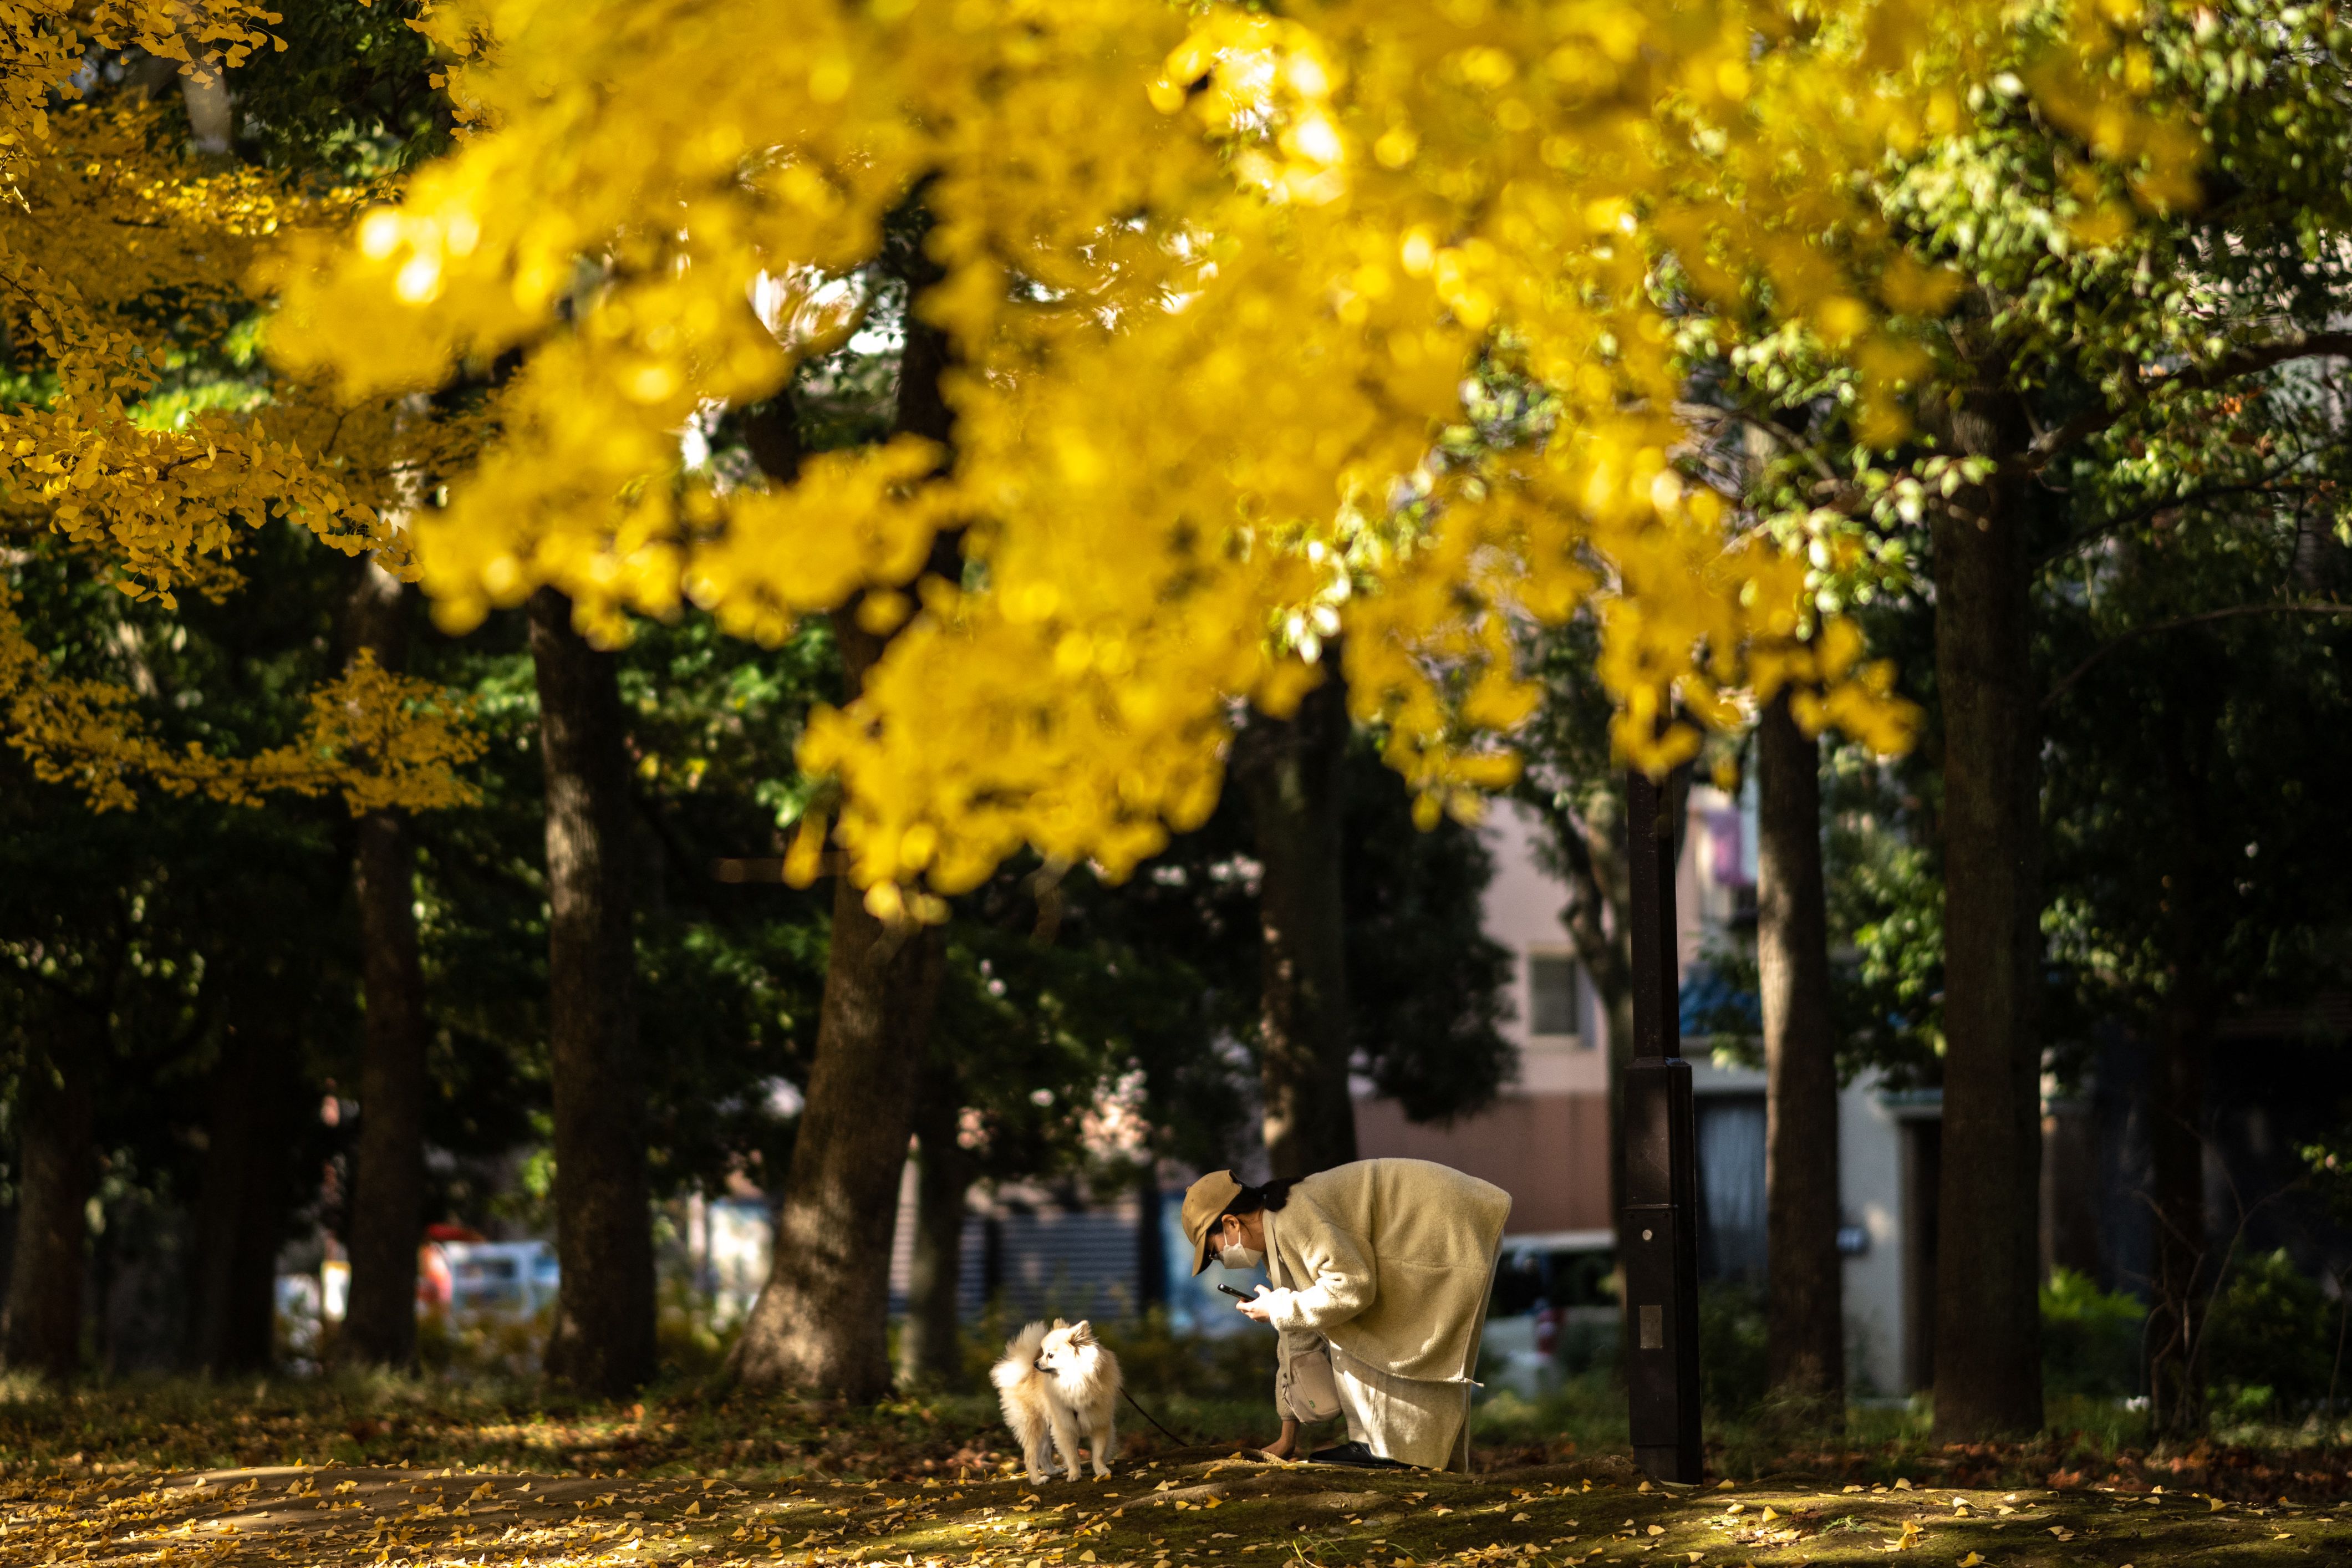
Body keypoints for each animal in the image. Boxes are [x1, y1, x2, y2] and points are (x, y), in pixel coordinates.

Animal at [987, 1326, 1124, 1485]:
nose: (1036, 1363)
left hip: (1048, 1429)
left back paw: (1052, 1471)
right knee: (1030, 1456)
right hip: (1035, 1425)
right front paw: (1075, 1474)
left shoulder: (1099, 1423)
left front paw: (1101, 1471)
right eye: (1044, 1353)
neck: (1076, 1382)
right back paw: (1037, 1480)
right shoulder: (1065, 1427)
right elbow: (1072, 1455)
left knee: (1043, 1454)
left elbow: (1098, 1453)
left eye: (1050, 1355)